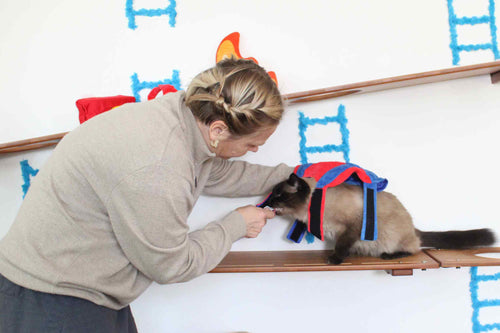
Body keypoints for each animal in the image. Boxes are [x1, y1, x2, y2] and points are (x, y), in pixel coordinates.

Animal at [266, 172, 496, 264]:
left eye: (278, 194)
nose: (267, 202)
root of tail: (414, 227)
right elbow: (343, 244)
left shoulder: (352, 227)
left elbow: (341, 245)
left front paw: (335, 259)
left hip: (394, 237)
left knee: (413, 248)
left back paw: (389, 255)